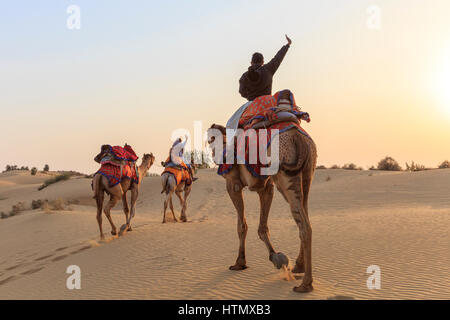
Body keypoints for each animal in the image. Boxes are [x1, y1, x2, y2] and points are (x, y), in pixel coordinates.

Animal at [207, 123, 316, 292]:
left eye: (210, 138)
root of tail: (298, 138)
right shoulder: (266, 185)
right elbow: (262, 227)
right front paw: (276, 258)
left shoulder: (233, 183)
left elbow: (242, 225)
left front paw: (240, 263)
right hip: (306, 173)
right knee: (306, 218)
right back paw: (299, 267)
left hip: (285, 176)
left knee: (304, 226)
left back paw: (304, 285)